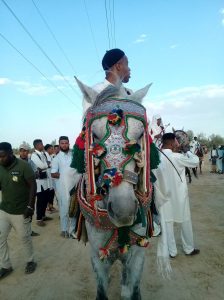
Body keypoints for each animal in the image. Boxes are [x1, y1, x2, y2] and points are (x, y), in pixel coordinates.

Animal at [72, 78, 158, 300]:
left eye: (140, 135)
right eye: (93, 135)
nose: (123, 211)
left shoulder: (137, 256)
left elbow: (134, 291)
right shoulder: (97, 257)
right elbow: (101, 292)